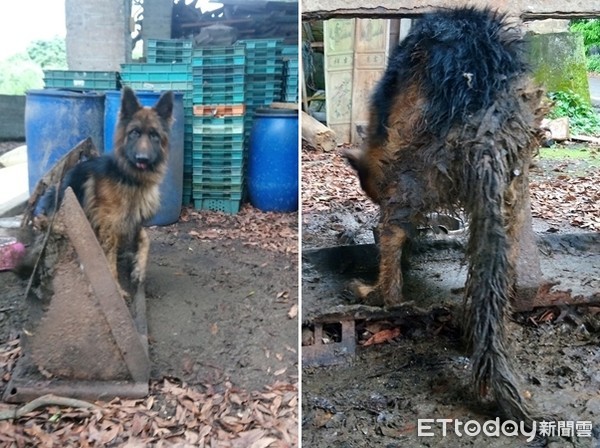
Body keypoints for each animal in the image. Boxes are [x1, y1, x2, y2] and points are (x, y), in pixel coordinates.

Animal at [57, 87, 173, 298]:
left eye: (154, 135)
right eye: (134, 133)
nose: (142, 158)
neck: (131, 181)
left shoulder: (134, 221)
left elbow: (146, 239)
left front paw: (139, 269)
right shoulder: (109, 227)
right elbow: (108, 262)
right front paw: (117, 290)